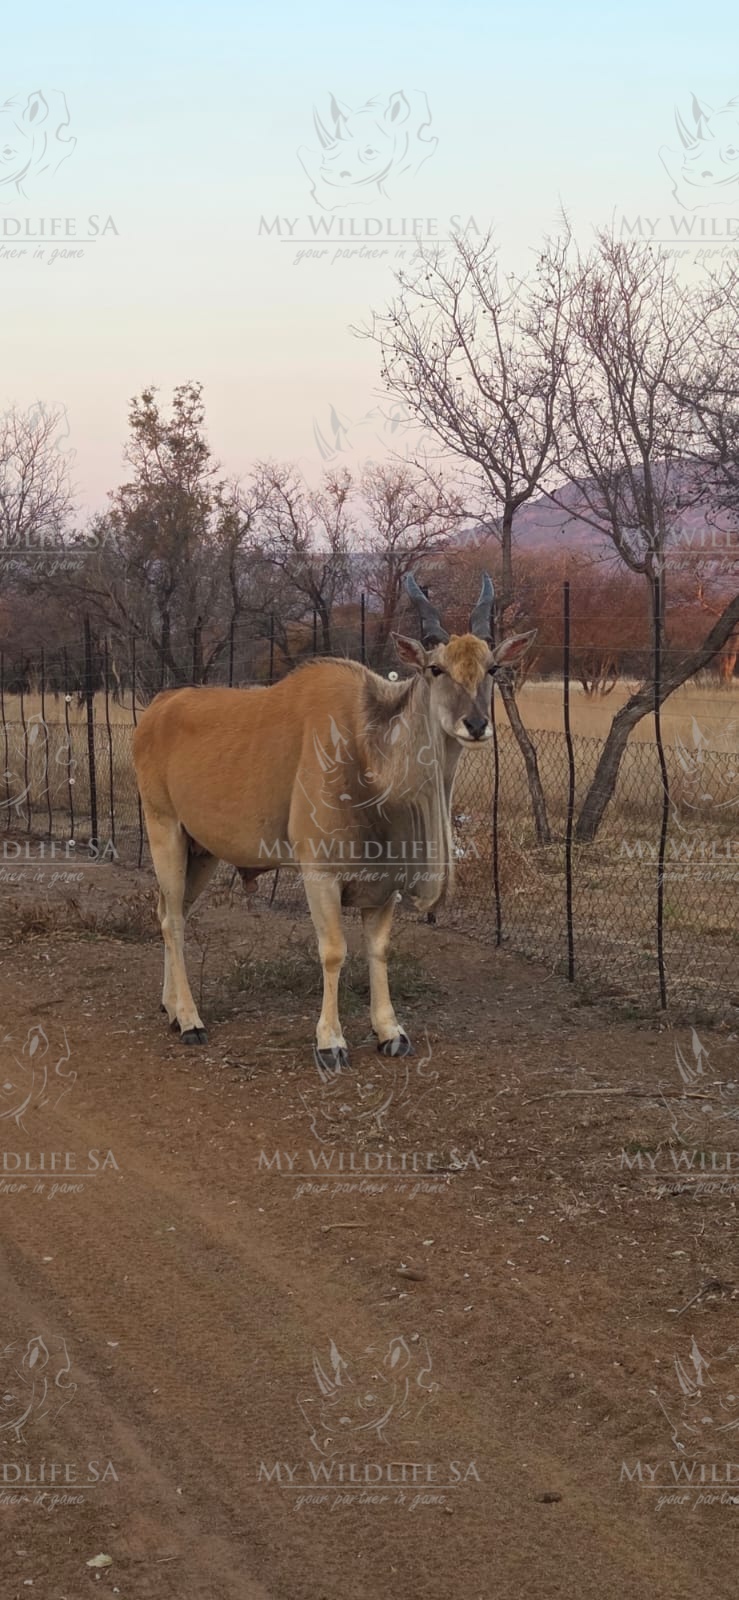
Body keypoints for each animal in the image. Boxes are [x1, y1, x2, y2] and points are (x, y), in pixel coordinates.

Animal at [132, 574, 534, 1073]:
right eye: (436, 669)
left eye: (493, 668)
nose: (475, 724)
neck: (366, 748)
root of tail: (156, 708)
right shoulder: (319, 874)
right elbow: (334, 951)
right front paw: (331, 1042)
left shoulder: (384, 883)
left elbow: (379, 950)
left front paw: (390, 1032)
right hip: (164, 828)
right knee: (172, 921)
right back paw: (190, 1020)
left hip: (200, 850)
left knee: (172, 912)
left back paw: (171, 1008)